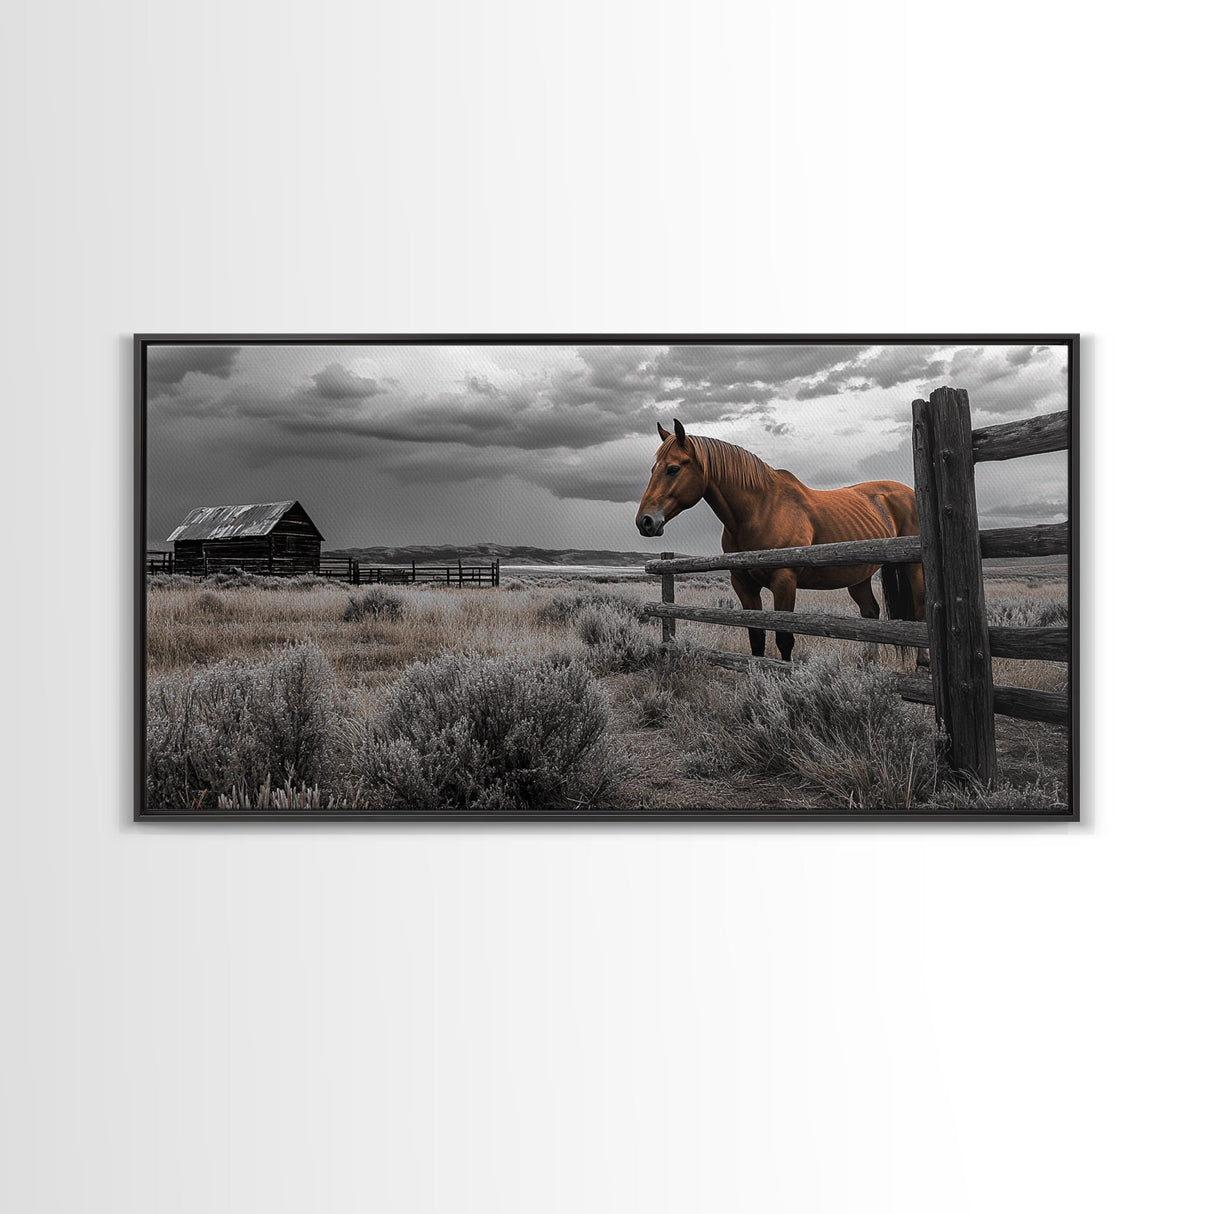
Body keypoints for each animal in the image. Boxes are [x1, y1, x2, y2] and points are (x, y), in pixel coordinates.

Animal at [635, 419, 926, 662]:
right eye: (652, 469)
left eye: (673, 469)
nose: (644, 521)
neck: (759, 510)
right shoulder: (744, 585)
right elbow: (756, 638)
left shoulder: (784, 582)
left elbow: (784, 639)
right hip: (859, 577)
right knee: (870, 614)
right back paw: (869, 662)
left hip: (914, 568)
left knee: (920, 611)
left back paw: (921, 663)